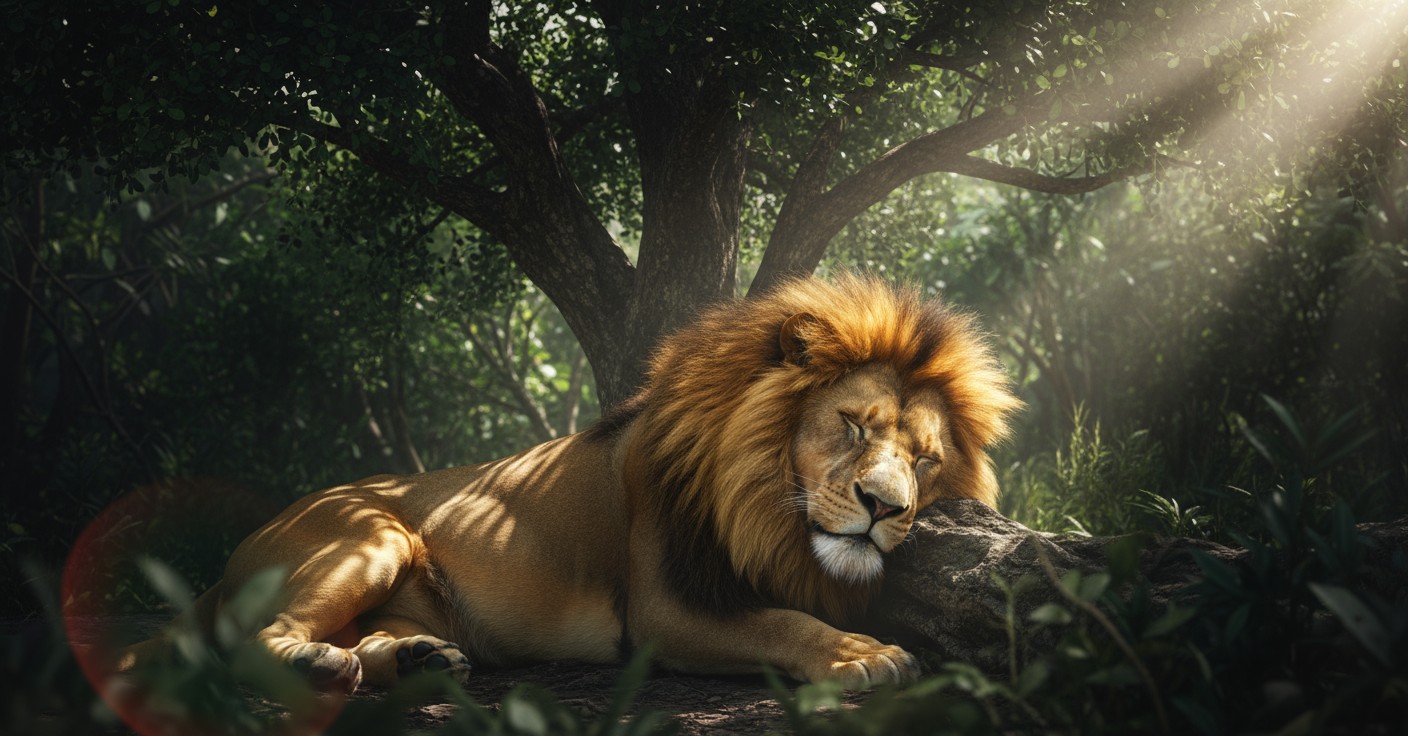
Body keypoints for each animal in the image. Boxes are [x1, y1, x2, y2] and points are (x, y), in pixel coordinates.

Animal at [118, 275, 1018, 693]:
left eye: (925, 458)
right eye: (854, 426)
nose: (884, 508)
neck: (765, 503)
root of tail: (250, 540)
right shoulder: (664, 610)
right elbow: (782, 622)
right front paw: (861, 654)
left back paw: (412, 659)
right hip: (369, 535)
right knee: (247, 640)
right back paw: (318, 664)